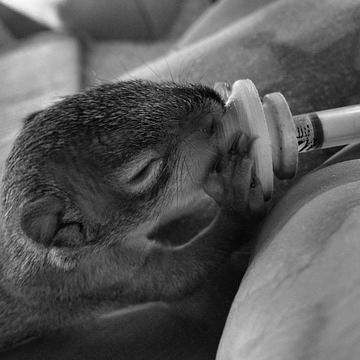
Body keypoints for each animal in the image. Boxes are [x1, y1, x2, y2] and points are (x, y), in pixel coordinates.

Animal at [0, 79, 264, 348]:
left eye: (122, 87)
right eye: (142, 172)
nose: (212, 101)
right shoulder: (102, 279)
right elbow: (181, 273)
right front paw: (235, 197)